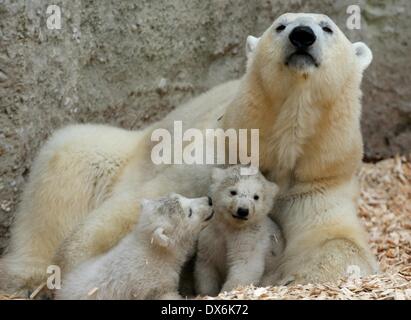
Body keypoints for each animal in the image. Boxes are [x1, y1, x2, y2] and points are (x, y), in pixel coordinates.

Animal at [0, 13, 380, 296]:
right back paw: (24, 275)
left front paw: (290, 277)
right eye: (280, 25)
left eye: (327, 27)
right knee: (66, 158)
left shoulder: (317, 179)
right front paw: (72, 266)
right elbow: (139, 203)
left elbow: (337, 241)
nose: (303, 35)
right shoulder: (219, 152)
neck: (281, 149)